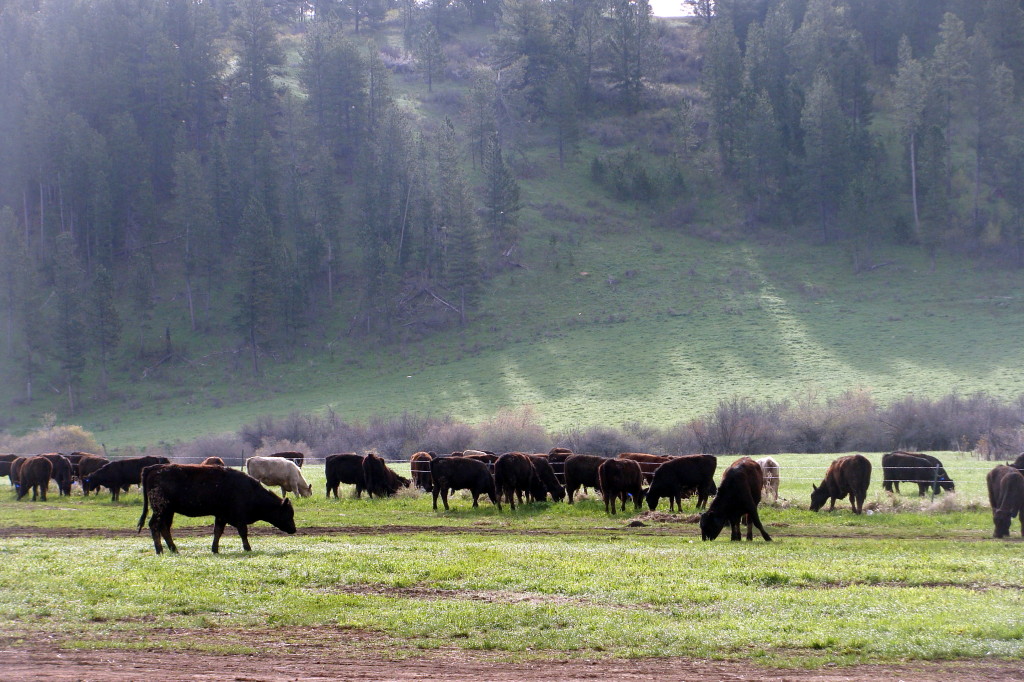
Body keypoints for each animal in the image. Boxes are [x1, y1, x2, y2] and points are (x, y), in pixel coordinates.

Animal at [138, 464, 296, 554]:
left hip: (168, 511)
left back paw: (174, 549)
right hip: (161, 509)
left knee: (164, 528)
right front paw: (248, 548)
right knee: (154, 525)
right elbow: (243, 532)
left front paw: (215, 550)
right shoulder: (239, 518)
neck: (249, 489)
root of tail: (154, 468)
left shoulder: (221, 516)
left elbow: (217, 532)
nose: (294, 529)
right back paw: (160, 550)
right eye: (288, 513)